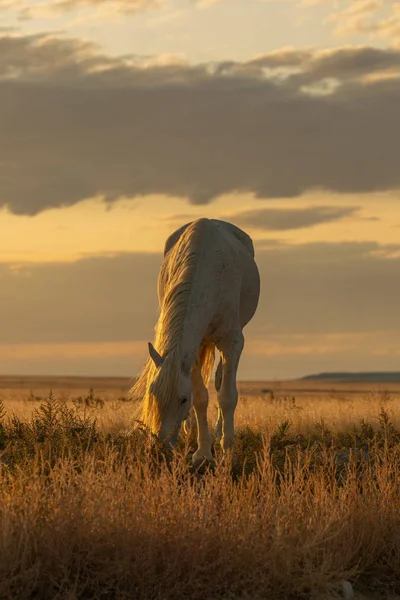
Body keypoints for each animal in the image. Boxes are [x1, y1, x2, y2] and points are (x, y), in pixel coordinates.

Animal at [128, 218, 260, 462]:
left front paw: (228, 450)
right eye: (153, 394)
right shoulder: (194, 348)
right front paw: (203, 453)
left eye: (181, 399)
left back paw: (220, 432)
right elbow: (200, 397)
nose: (159, 449)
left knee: (220, 380)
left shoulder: (233, 343)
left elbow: (227, 396)